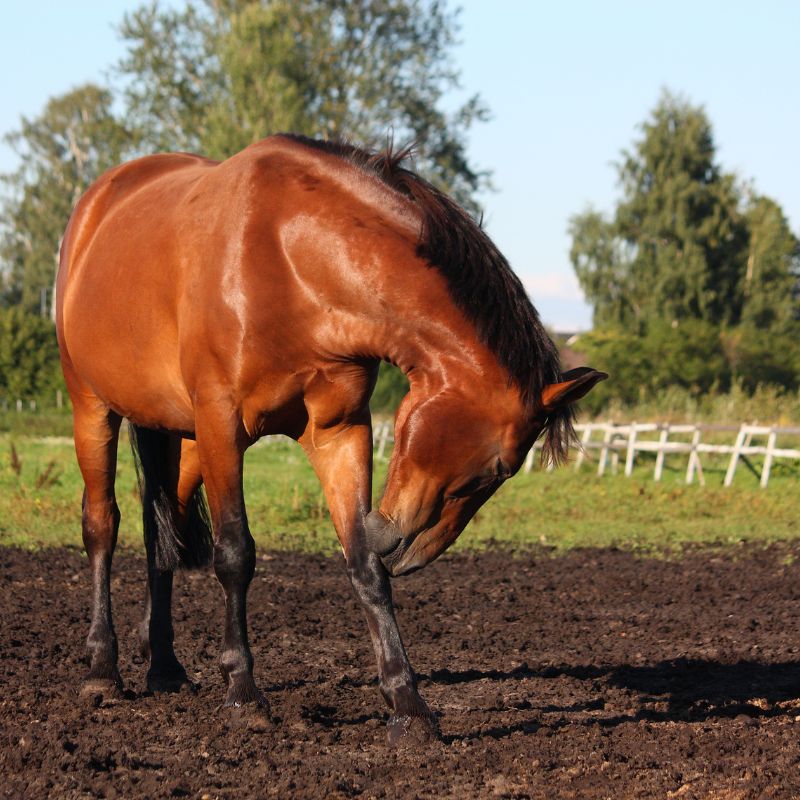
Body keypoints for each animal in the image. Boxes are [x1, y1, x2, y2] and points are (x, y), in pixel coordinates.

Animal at [56, 134, 606, 745]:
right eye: (499, 468)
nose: (405, 550)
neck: (290, 258)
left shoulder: (338, 432)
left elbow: (362, 563)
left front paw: (407, 704)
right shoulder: (222, 424)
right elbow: (234, 554)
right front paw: (243, 693)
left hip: (180, 433)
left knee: (163, 533)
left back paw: (165, 667)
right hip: (96, 408)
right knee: (102, 527)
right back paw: (102, 671)